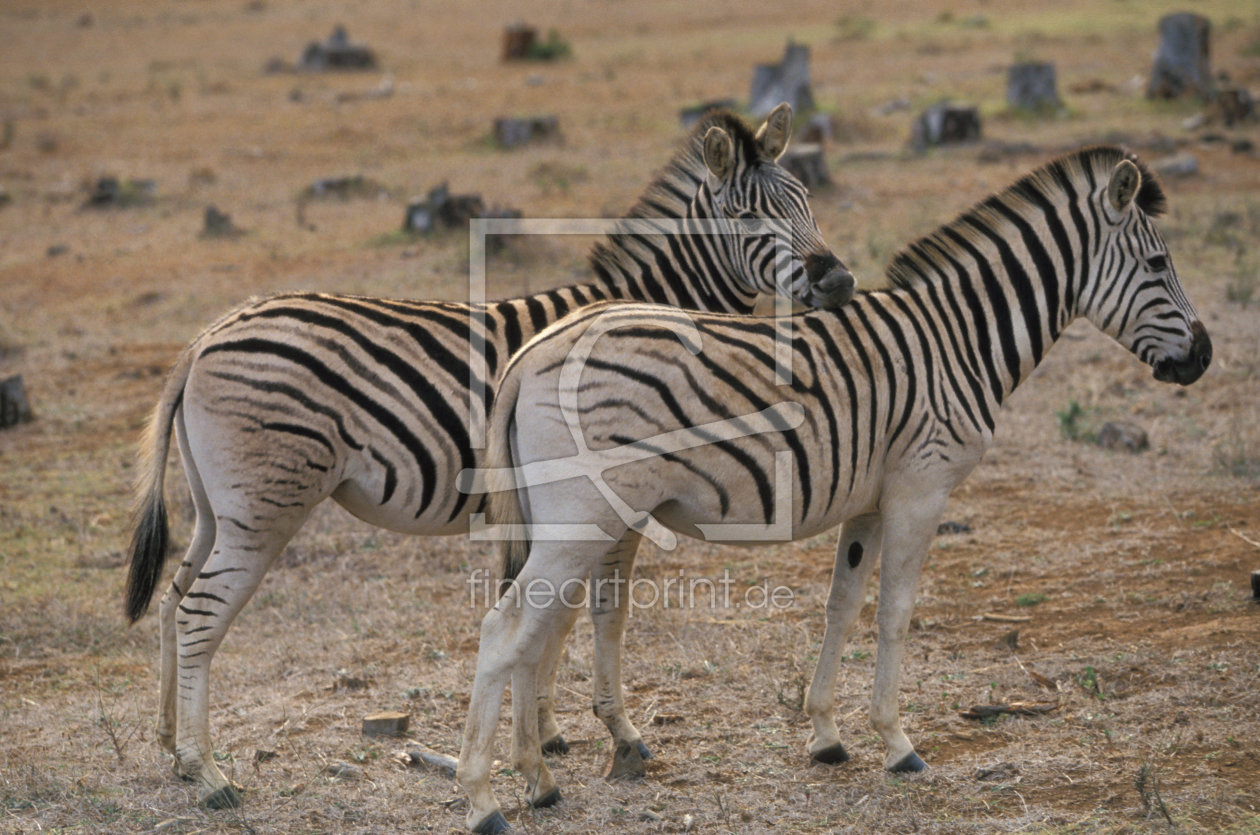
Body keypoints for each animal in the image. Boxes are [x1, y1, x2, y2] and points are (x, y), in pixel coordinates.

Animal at [122, 102, 856, 811]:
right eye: (750, 215)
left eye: (806, 200)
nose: (842, 280)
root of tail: (206, 337)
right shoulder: (606, 500)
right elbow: (597, 613)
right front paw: (607, 735)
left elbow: (553, 618)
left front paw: (546, 736)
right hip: (265, 502)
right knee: (200, 611)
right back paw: (210, 773)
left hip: (219, 506)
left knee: (174, 599)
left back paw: (171, 746)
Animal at [456, 146, 1209, 831]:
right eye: (1158, 267)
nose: (1202, 357)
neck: (958, 340)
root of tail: (531, 353)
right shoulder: (920, 488)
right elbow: (894, 615)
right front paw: (898, 743)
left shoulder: (869, 501)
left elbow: (841, 607)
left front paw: (825, 734)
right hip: (581, 518)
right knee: (503, 627)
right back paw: (484, 798)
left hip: (570, 520)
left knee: (538, 626)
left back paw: (540, 778)